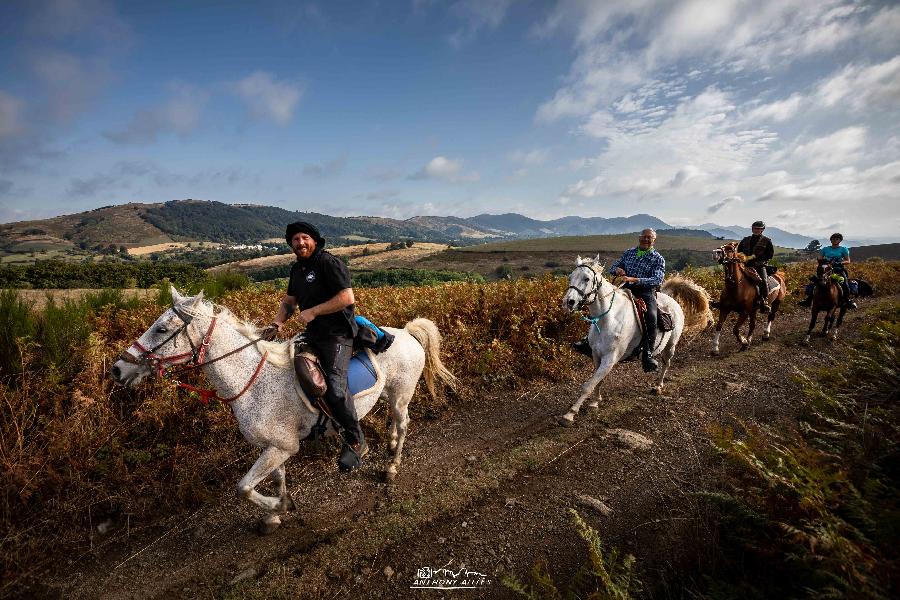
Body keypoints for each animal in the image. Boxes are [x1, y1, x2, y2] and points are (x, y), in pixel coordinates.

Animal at [108, 288, 454, 532]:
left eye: (162, 329)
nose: (117, 369)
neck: (251, 380)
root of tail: (407, 331)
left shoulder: (284, 446)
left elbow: (243, 488)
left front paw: (279, 508)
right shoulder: (273, 446)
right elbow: (276, 478)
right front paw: (277, 511)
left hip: (400, 395)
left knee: (404, 422)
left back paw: (392, 465)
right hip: (385, 395)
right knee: (394, 424)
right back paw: (389, 444)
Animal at [556, 256, 712, 426]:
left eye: (587, 278)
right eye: (570, 277)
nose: (568, 302)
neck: (608, 319)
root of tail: (669, 298)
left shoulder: (610, 359)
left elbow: (588, 385)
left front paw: (570, 414)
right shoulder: (597, 356)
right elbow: (597, 381)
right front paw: (595, 402)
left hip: (670, 346)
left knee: (666, 363)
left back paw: (657, 387)